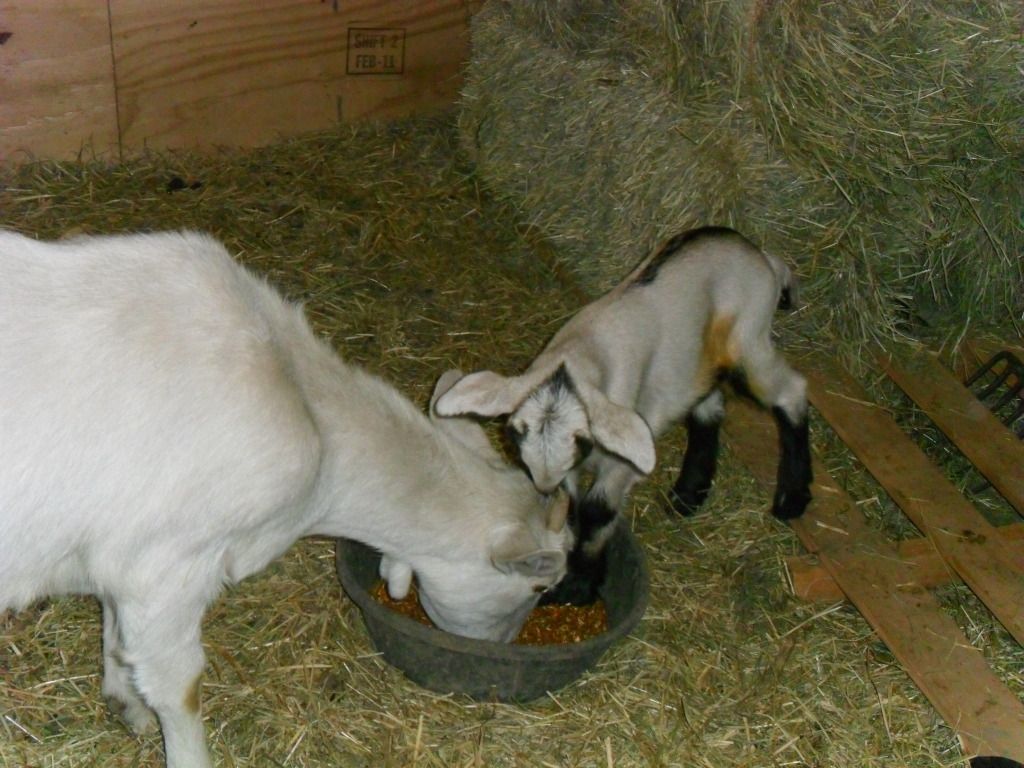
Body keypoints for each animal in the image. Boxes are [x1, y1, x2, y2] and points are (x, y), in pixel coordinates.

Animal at [0, 229, 571, 768]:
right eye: (541, 586)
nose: (501, 649)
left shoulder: (116, 561)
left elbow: (116, 632)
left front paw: (126, 703)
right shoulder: (166, 567)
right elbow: (180, 687)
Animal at [434, 226, 812, 604]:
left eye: (581, 438)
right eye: (515, 432)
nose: (543, 487)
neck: (581, 355)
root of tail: (762, 255)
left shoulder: (621, 456)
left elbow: (597, 508)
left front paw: (579, 585)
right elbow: (573, 505)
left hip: (750, 339)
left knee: (790, 392)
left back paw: (791, 498)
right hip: (698, 360)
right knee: (709, 404)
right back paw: (689, 493)